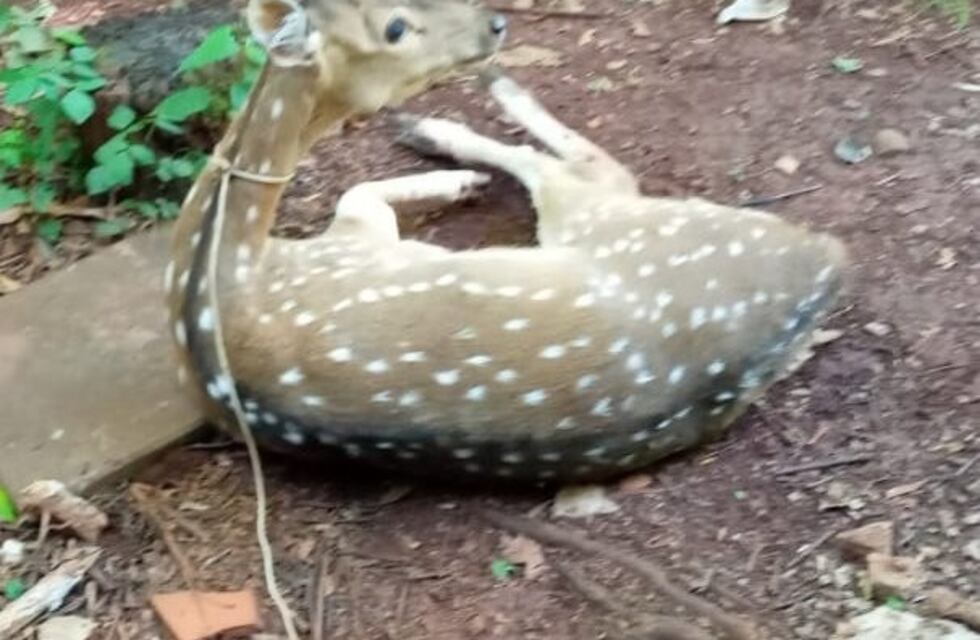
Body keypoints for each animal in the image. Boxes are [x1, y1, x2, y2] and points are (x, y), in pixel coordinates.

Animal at [166, 0, 847, 485]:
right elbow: (355, 194)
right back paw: (462, 113)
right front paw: (458, 177)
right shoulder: (354, 241)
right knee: (588, 168)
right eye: (394, 27)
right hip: (620, 224)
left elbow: (355, 189)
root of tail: (823, 262)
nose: (494, 24)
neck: (213, 273)